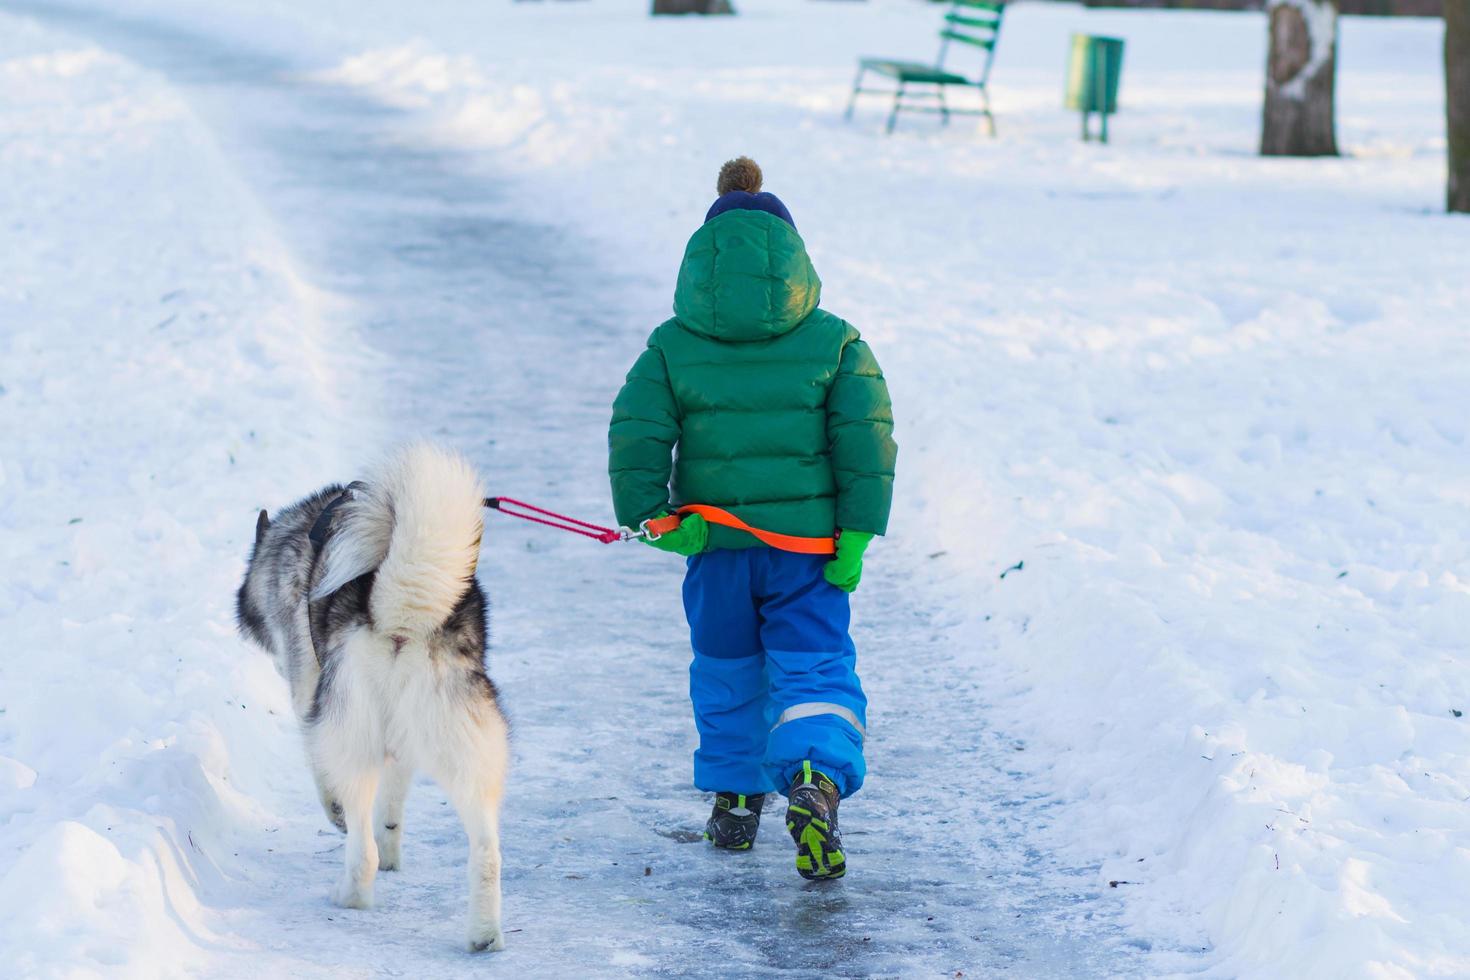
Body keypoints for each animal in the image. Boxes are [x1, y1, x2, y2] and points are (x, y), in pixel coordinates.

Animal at [230, 443, 505, 952]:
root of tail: (400, 613)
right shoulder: (398, 748)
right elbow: (392, 808)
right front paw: (393, 845)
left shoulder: (310, 702)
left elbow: (322, 776)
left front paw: (336, 815)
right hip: (465, 749)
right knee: (486, 850)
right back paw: (483, 934)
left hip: (350, 735)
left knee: (362, 852)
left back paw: (347, 892)